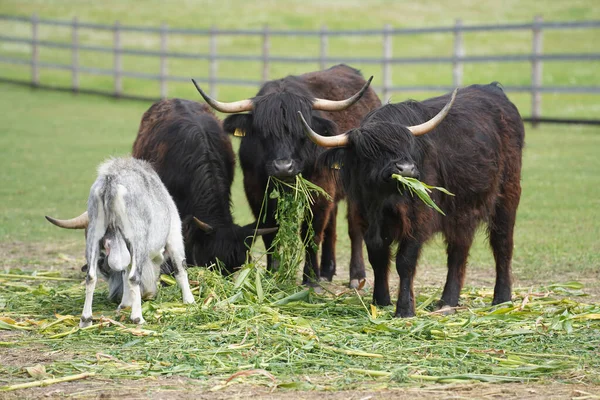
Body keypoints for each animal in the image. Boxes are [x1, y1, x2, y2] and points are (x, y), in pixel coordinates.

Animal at [195, 64, 382, 286]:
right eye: (263, 132)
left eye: (302, 132)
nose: (283, 167)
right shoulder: (256, 191)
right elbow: (270, 232)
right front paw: (272, 274)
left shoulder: (319, 191)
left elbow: (311, 233)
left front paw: (310, 279)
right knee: (332, 226)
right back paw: (327, 271)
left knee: (355, 227)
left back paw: (356, 276)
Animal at [300, 83, 524, 318]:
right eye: (371, 150)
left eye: (408, 147)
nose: (406, 169)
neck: (382, 200)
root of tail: (492, 89)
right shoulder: (366, 219)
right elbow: (377, 257)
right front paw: (381, 301)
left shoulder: (418, 220)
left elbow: (405, 261)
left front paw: (405, 309)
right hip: (461, 213)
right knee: (458, 251)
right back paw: (447, 302)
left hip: (506, 198)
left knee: (502, 244)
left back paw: (501, 299)